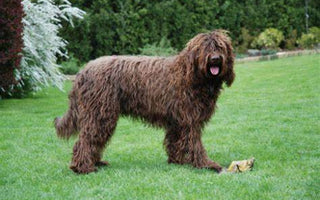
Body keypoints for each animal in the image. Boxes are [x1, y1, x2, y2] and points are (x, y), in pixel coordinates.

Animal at [54, 30, 235, 173]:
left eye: (220, 47)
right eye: (205, 47)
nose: (215, 59)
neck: (190, 75)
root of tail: (83, 71)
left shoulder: (177, 120)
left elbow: (175, 142)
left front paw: (177, 161)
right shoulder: (189, 120)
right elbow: (194, 143)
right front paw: (206, 164)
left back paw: (95, 162)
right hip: (100, 114)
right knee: (86, 139)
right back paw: (83, 167)